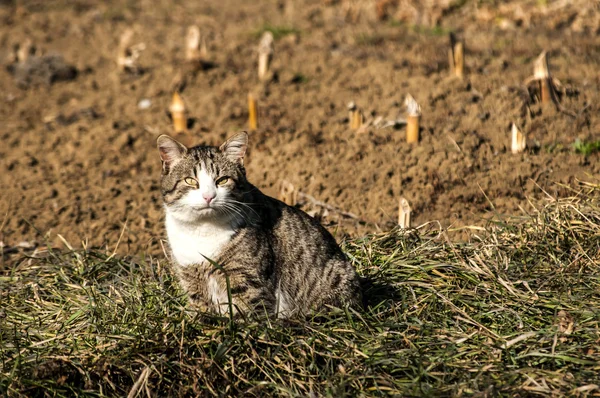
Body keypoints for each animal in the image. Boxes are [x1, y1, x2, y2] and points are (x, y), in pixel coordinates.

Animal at [156, 132, 360, 318]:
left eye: (222, 180)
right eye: (190, 181)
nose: (208, 196)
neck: (203, 229)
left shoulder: (246, 278)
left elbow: (248, 315)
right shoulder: (191, 277)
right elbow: (202, 311)